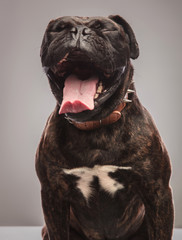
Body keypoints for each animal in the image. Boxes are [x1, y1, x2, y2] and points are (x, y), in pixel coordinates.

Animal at [36, 15, 173, 240]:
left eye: (105, 29)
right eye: (59, 28)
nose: (78, 30)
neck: (96, 126)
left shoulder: (158, 192)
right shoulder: (52, 195)